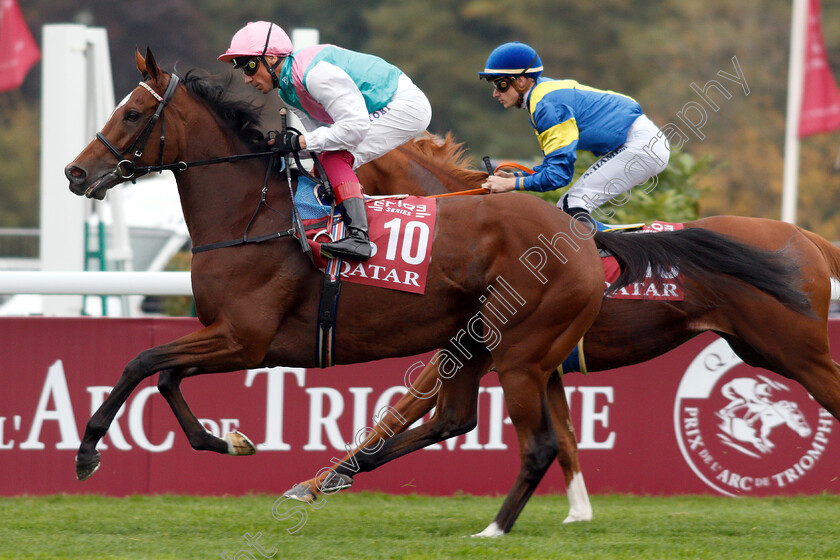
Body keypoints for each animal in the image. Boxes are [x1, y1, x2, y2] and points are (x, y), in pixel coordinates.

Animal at [288, 132, 840, 524]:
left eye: (334, 162)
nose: (314, 205)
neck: (475, 232)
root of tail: (806, 238)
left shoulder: (475, 347)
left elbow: (401, 409)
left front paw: (317, 483)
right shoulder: (540, 366)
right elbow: (568, 439)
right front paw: (578, 513)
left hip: (793, 350)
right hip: (758, 347)